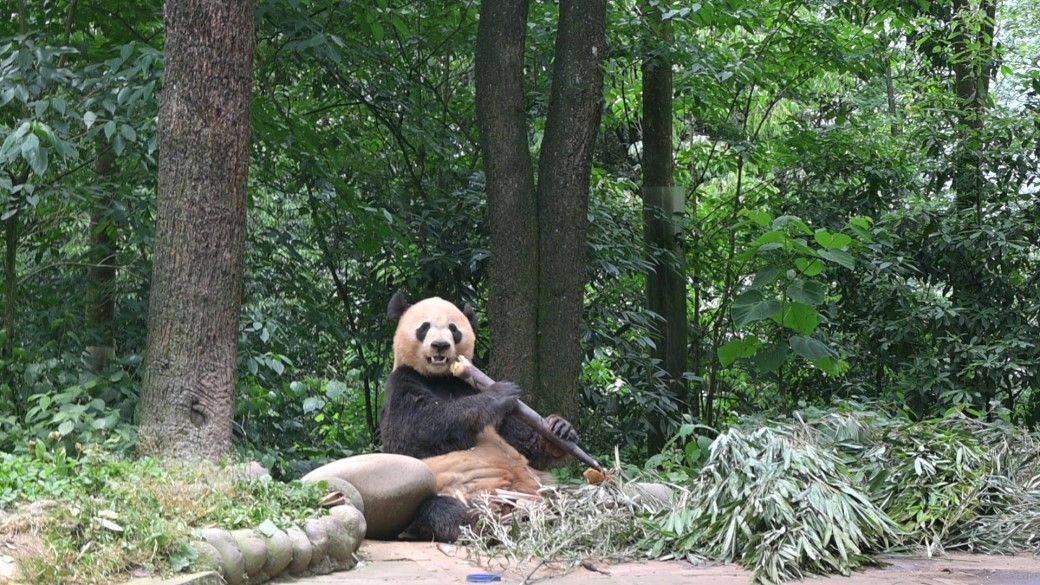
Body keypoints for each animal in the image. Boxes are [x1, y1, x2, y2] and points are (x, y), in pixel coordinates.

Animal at [380, 289, 578, 541]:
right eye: (424, 327)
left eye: (453, 329)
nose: (440, 345)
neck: (440, 377)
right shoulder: (402, 383)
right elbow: (413, 433)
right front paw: (500, 393)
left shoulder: (471, 385)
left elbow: (526, 446)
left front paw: (560, 428)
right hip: (431, 494)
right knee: (440, 510)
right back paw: (491, 523)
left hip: (544, 485)